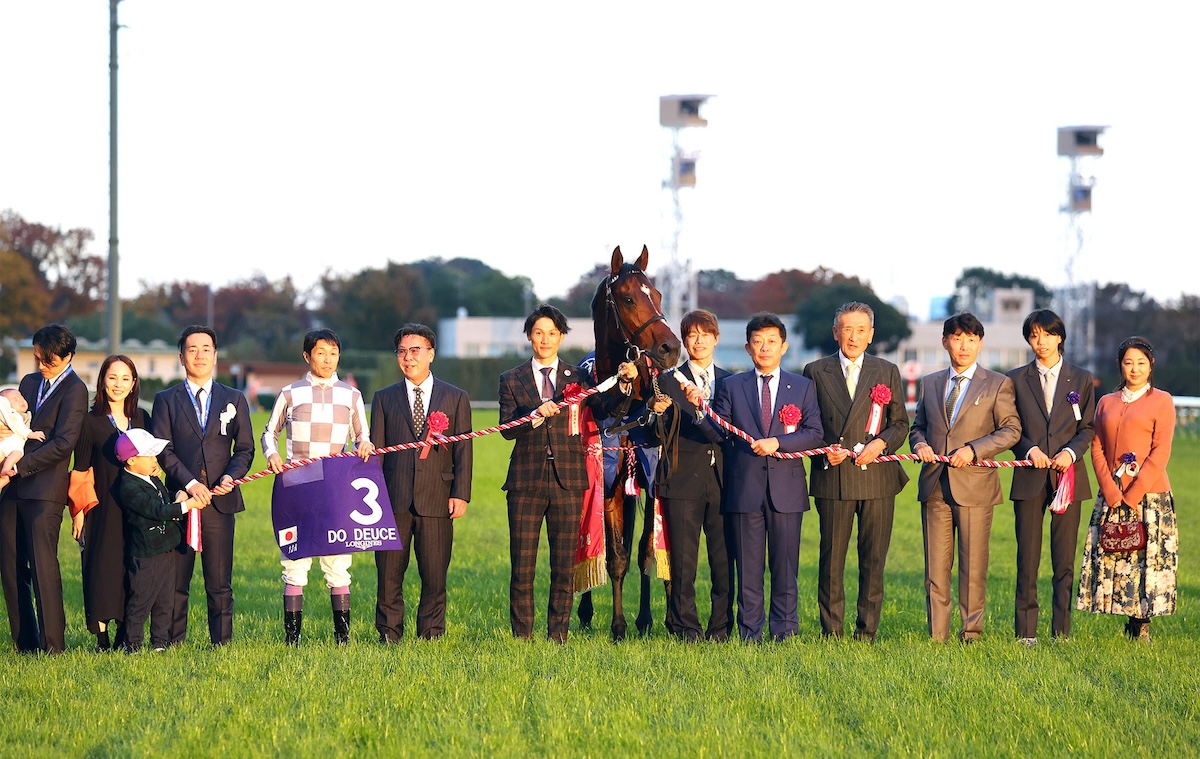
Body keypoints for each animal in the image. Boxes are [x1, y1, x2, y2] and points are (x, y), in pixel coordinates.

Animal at [576, 244, 681, 638]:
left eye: (659, 294)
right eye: (628, 297)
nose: (670, 347)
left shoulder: (651, 478)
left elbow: (647, 550)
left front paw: (652, 619)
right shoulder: (608, 484)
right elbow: (616, 555)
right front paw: (618, 626)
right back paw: (586, 611)